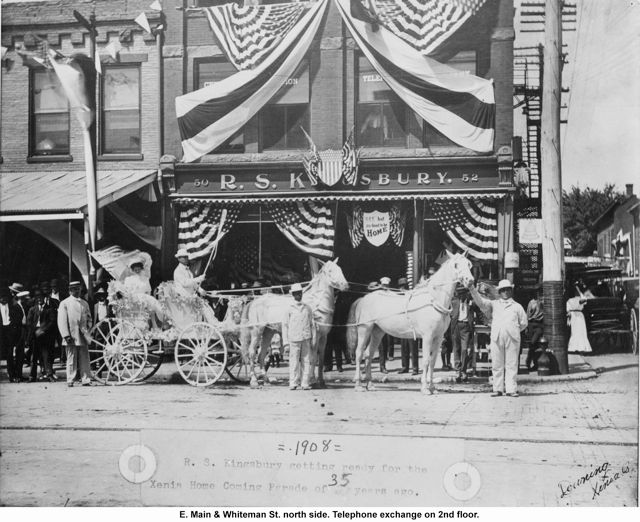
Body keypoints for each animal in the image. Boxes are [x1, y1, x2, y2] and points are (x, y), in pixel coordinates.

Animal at [241, 258, 350, 386]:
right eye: (330, 271)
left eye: (340, 269)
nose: (346, 285)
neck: (317, 304)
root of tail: (253, 302)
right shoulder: (314, 336)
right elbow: (312, 357)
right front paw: (311, 379)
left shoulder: (323, 337)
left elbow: (321, 357)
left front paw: (321, 380)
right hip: (257, 332)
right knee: (252, 353)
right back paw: (254, 381)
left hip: (268, 332)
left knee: (261, 355)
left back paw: (266, 380)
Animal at [348, 250, 472, 392]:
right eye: (456, 265)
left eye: (469, 264)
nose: (470, 281)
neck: (433, 300)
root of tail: (363, 299)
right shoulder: (427, 337)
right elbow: (426, 361)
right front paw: (425, 388)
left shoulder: (438, 337)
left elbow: (432, 361)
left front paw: (432, 388)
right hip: (365, 329)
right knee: (359, 353)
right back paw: (358, 385)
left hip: (377, 332)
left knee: (368, 354)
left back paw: (370, 384)